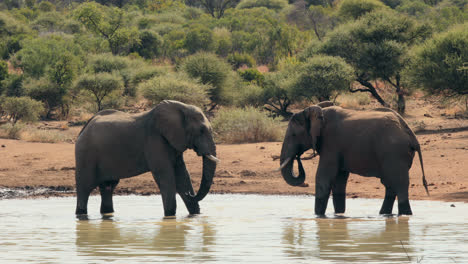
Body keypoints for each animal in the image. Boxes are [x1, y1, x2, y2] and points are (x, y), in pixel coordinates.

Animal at [74, 100, 218, 216]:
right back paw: (81, 214)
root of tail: (84, 128)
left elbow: (182, 174)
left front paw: (195, 215)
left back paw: (107, 213)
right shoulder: (154, 139)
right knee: (84, 188)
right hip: (85, 154)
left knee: (108, 187)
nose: (190, 194)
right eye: (201, 130)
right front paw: (169, 216)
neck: (181, 108)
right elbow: (164, 174)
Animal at [280, 102, 430, 216]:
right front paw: (339, 215)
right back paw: (384, 214)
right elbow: (339, 180)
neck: (317, 112)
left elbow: (323, 177)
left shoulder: (331, 144)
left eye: (293, 135)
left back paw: (404, 214)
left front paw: (318, 216)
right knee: (390, 184)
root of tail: (411, 134)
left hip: (394, 152)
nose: (297, 157)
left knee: (399, 183)